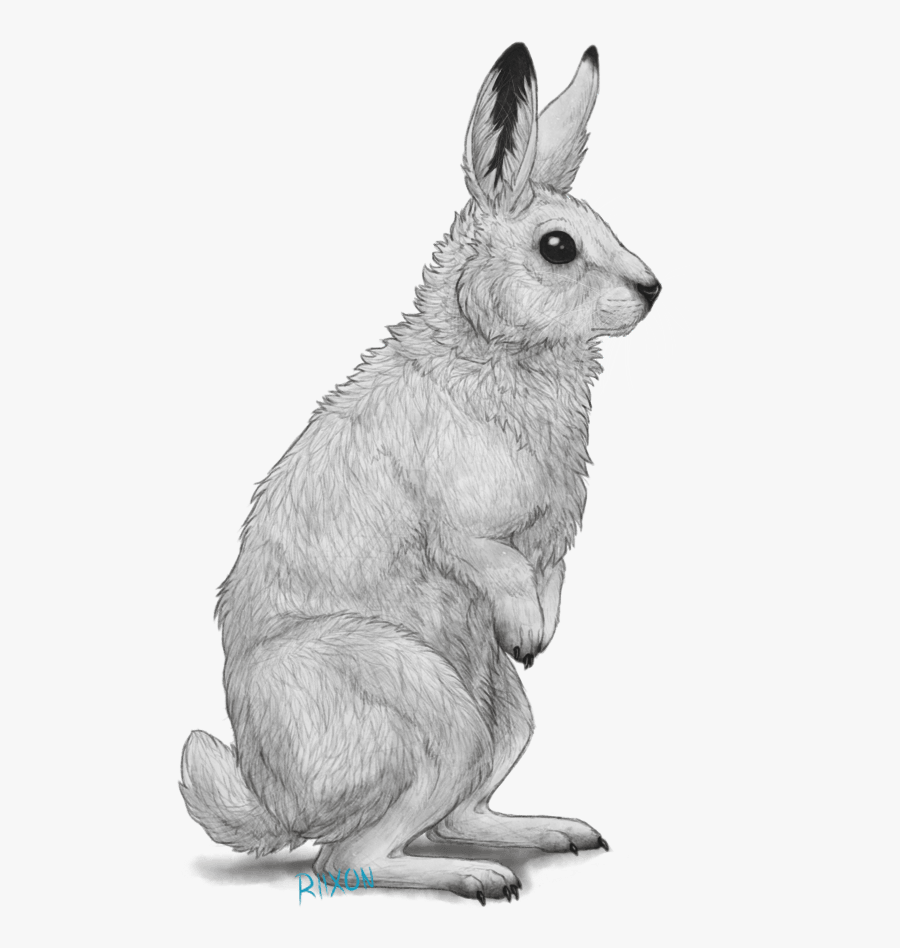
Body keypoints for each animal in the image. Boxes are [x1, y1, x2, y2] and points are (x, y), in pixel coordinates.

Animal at [181, 41, 660, 903]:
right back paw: (479, 879)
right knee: (350, 859)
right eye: (558, 247)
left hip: (503, 717)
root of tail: (278, 803)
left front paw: (540, 635)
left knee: (447, 815)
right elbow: (493, 562)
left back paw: (555, 832)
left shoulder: (551, 546)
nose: (652, 290)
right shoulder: (464, 529)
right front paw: (527, 629)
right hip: (426, 704)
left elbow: (551, 577)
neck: (497, 353)